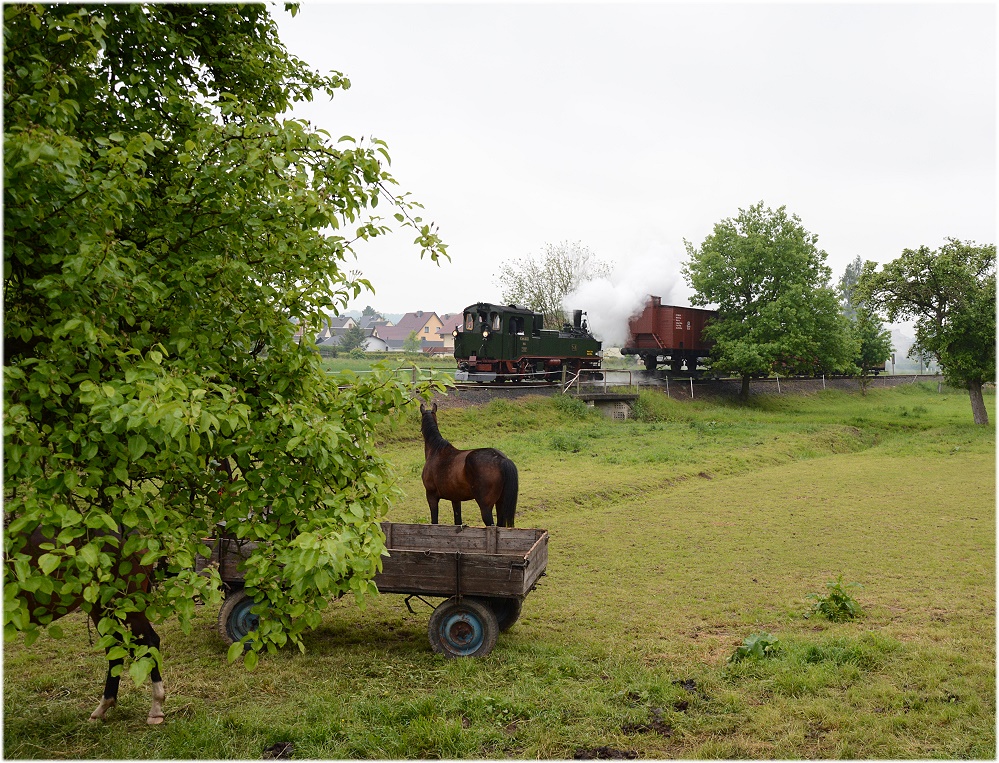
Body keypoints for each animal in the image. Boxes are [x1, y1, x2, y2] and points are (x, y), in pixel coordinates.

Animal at [10, 528, 167, 724]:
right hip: (101, 606)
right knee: (115, 648)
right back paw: (104, 706)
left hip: (128, 604)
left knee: (149, 643)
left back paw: (156, 708)